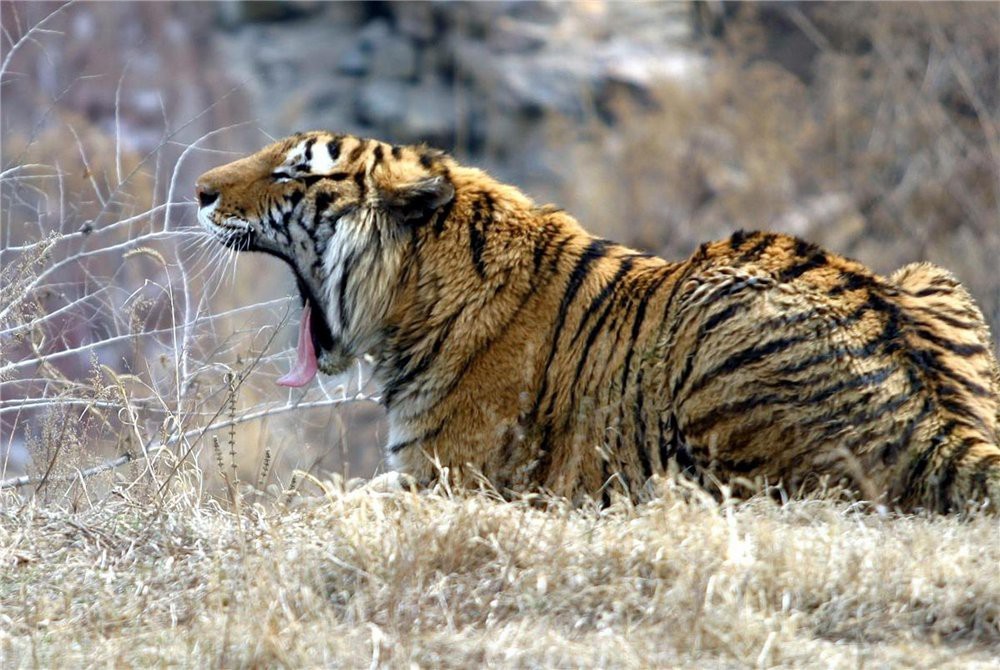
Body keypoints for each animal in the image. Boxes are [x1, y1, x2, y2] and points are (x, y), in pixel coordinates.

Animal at [196, 131, 1000, 513]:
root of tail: (940, 420)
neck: (411, 298)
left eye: (293, 172)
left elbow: (327, 497)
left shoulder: (448, 479)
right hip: (929, 274)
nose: (200, 190)